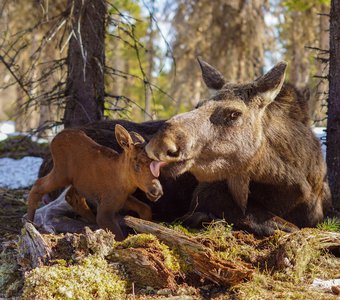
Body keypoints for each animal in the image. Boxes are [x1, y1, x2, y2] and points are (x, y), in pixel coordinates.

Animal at [27, 123, 163, 239]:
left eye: (156, 164)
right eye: (137, 165)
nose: (156, 191)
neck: (125, 183)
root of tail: (55, 139)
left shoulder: (123, 198)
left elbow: (145, 209)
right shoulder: (105, 210)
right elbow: (119, 237)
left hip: (78, 182)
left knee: (72, 197)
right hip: (61, 173)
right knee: (38, 185)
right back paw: (29, 222)